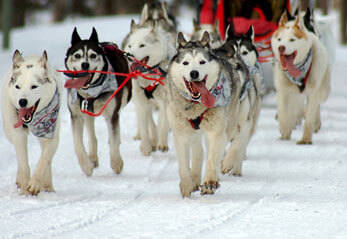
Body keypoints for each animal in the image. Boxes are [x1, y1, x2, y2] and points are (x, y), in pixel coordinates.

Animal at [1, 50, 62, 194]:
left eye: (34, 86)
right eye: (18, 86)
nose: (22, 101)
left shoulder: (52, 135)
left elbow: (44, 160)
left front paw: (35, 183)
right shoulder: (18, 135)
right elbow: (23, 163)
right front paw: (24, 189)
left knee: (47, 158)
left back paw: (48, 186)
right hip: (9, 131)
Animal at [64, 28, 132, 176]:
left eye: (93, 55)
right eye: (77, 55)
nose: (85, 64)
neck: (90, 93)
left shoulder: (112, 115)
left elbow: (114, 138)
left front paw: (116, 163)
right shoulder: (76, 115)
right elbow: (77, 143)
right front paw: (86, 165)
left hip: (124, 97)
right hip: (87, 112)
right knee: (91, 134)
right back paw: (93, 157)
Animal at [169, 31, 242, 196]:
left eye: (202, 62)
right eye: (185, 63)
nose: (194, 73)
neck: (196, 105)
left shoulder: (216, 132)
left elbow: (212, 158)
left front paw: (209, 181)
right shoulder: (180, 134)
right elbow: (183, 164)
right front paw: (186, 184)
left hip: (227, 125)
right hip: (194, 133)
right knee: (198, 151)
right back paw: (195, 179)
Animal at [216, 25, 262, 176]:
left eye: (245, 52)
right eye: (229, 51)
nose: (239, 63)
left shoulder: (245, 123)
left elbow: (236, 146)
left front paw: (228, 163)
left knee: (241, 145)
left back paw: (235, 169)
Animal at [272, 11, 332, 144]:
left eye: (292, 40)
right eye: (279, 39)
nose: (281, 47)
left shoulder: (313, 92)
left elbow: (309, 117)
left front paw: (305, 139)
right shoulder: (283, 91)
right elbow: (283, 116)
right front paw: (285, 134)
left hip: (323, 91)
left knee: (316, 105)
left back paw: (315, 123)